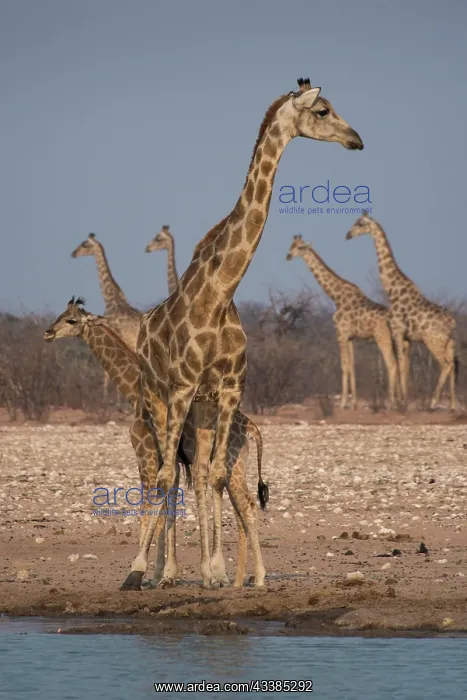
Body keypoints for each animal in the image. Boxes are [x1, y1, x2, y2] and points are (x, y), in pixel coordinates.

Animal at [43, 297, 268, 589]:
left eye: (71, 320)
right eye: (60, 315)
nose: (48, 332)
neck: (134, 395)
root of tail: (251, 428)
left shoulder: (146, 454)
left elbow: (147, 508)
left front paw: (147, 574)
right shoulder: (168, 461)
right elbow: (165, 505)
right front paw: (163, 575)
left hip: (234, 466)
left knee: (247, 507)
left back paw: (257, 577)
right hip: (234, 467)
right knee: (243, 508)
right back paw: (241, 579)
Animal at [123, 77, 363, 590]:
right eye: (323, 111)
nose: (357, 139)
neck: (219, 293)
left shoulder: (230, 389)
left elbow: (214, 476)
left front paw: (213, 572)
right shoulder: (181, 387)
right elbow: (169, 478)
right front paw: (145, 570)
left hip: (201, 409)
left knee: (193, 474)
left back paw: (182, 570)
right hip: (157, 397)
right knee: (165, 474)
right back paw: (153, 570)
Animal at [286, 234, 398, 409]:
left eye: (300, 247)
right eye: (291, 245)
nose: (288, 256)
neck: (336, 297)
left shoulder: (341, 333)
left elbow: (344, 366)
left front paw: (343, 403)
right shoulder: (350, 337)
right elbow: (352, 366)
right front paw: (353, 403)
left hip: (383, 337)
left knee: (392, 365)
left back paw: (390, 403)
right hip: (395, 339)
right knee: (399, 364)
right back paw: (400, 402)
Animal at [346, 213, 458, 409]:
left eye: (359, 223)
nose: (348, 235)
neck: (393, 290)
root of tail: (452, 323)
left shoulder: (398, 332)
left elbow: (398, 364)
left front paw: (399, 403)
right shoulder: (407, 338)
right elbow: (404, 367)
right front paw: (403, 400)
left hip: (433, 341)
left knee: (446, 365)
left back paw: (433, 402)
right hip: (448, 343)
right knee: (451, 365)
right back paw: (452, 405)